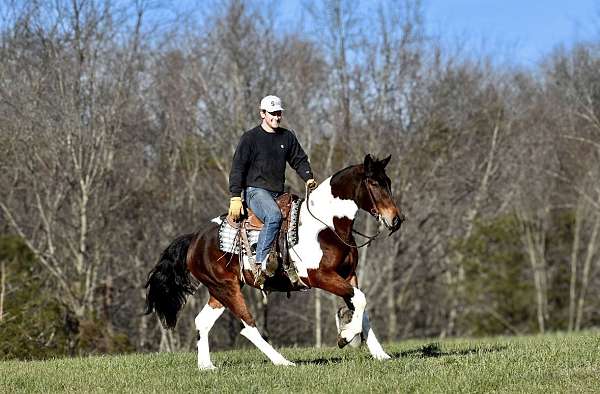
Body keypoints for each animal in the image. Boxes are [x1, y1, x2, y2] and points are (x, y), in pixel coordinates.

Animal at [144, 154, 406, 370]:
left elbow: (362, 306)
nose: (397, 219)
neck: (327, 226)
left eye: (389, 182)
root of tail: (195, 238)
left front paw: (380, 354)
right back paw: (283, 362)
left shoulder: (349, 275)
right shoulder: (320, 276)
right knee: (248, 327)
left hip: (220, 290)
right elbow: (360, 300)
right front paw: (345, 337)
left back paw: (206, 366)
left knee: (203, 322)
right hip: (227, 288)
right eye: (374, 183)